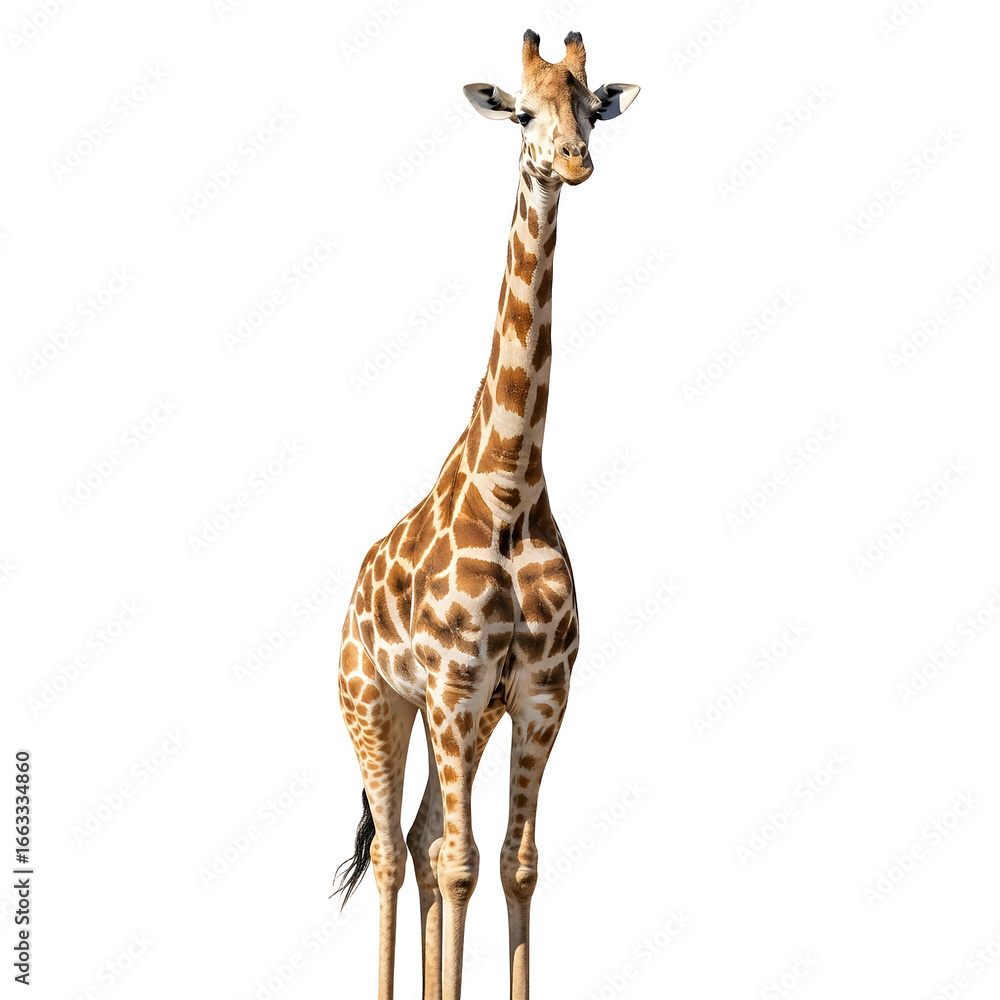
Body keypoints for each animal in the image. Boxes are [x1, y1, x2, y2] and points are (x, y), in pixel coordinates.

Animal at [334, 29, 639, 1000]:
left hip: (450, 718)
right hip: (375, 704)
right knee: (397, 853)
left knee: (424, 837)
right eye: (521, 112)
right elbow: (461, 864)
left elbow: (515, 863)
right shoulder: (454, 684)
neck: (510, 487)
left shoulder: (539, 692)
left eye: (590, 109)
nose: (574, 161)